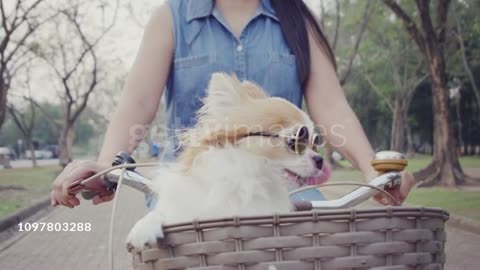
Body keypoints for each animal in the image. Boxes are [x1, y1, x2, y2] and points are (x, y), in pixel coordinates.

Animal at [126, 72, 330, 249]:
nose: (320, 159)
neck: (246, 180)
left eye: (314, 143)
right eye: (295, 141)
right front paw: (143, 227)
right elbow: (163, 213)